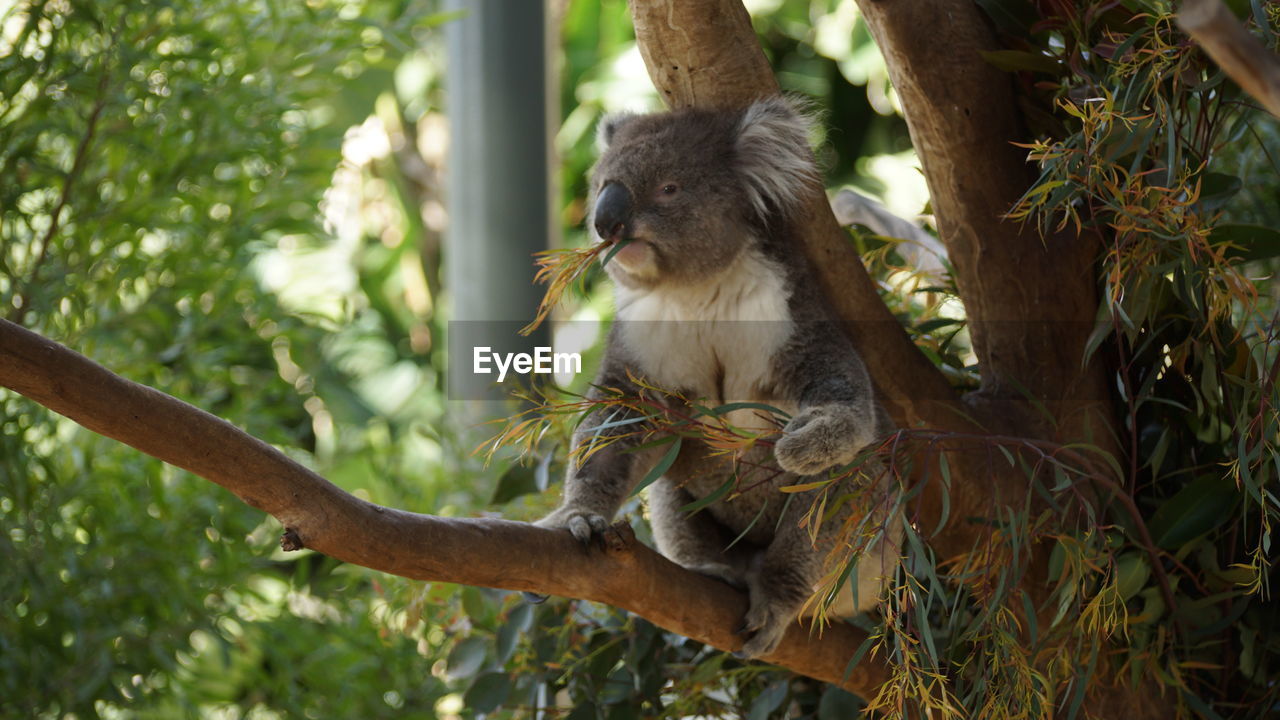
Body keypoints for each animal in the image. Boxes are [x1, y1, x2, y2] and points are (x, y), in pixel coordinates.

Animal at [535, 97, 901, 658]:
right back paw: (716, 571)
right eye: (600, 186)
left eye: (669, 188)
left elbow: (843, 399)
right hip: (680, 505)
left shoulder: (791, 316)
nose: (606, 223)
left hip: (867, 551)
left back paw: (775, 600)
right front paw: (579, 517)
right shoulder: (642, 344)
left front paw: (801, 446)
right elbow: (613, 427)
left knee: (840, 489)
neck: (697, 291)